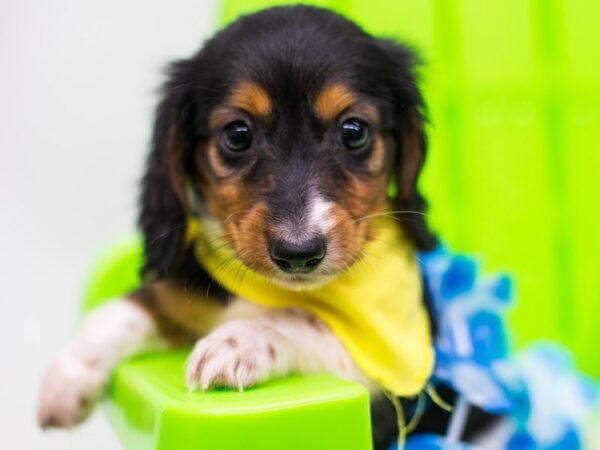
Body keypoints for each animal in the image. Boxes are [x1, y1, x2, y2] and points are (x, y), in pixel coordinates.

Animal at [37, 5, 442, 448]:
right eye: (237, 134)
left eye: (354, 131)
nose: (298, 254)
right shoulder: (187, 292)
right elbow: (132, 306)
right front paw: (66, 376)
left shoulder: (389, 379)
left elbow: (303, 320)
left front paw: (236, 342)